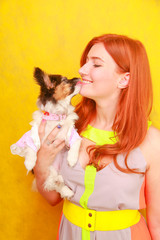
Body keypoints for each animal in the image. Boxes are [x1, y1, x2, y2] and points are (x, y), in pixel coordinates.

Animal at [10, 67, 81, 199]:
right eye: (65, 80)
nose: (78, 78)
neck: (55, 117)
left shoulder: (72, 133)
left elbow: (75, 143)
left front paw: (72, 160)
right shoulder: (34, 131)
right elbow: (32, 145)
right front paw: (29, 162)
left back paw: (66, 189)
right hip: (49, 170)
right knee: (51, 182)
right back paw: (62, 186)